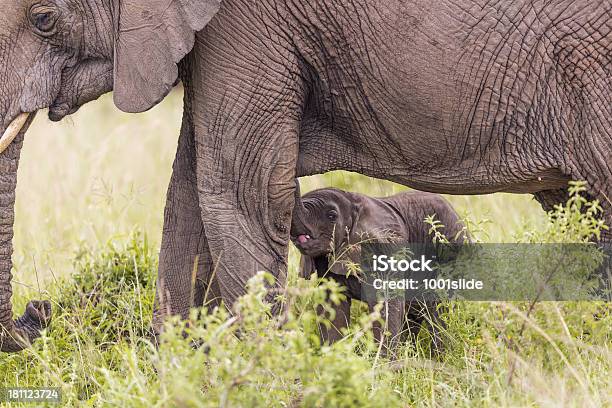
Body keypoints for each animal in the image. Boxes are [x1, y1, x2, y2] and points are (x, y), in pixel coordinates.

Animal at [290, 186, 464, 356]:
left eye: (331, 215)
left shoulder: (385, 250)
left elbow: (386, 306)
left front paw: (383, 362)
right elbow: (333, 306)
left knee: (438, 308)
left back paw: (439, 357)